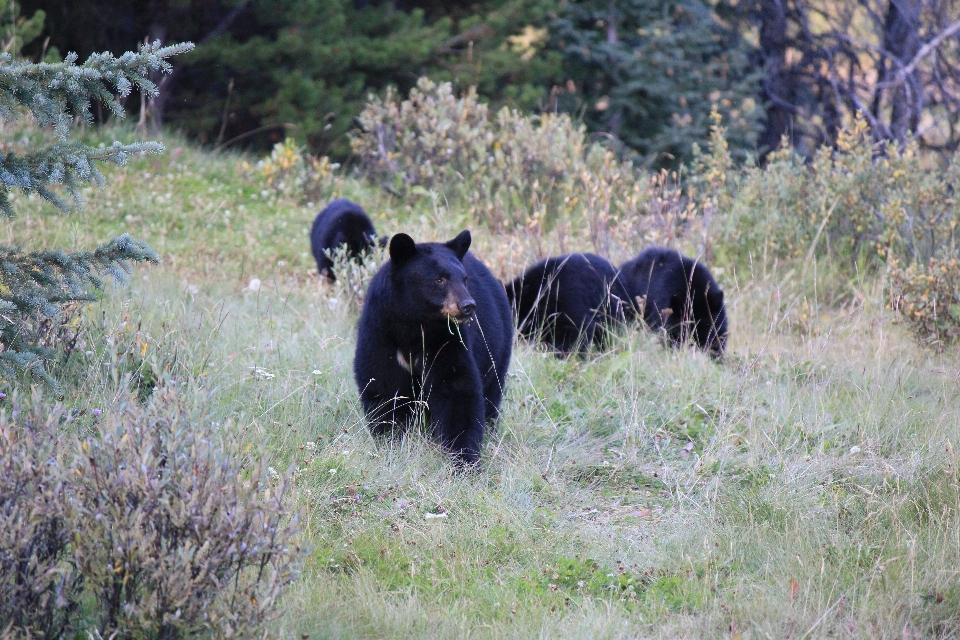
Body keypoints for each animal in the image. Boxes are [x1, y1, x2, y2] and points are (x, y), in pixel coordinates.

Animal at [352, 230, 512, 464]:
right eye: (439, 279)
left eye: (464, 279)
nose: (468, 306)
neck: (413, 326)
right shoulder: (380, 334)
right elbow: (384, 386)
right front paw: (392, 441)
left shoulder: (448, 340)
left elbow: (457, 391)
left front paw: (464, 458)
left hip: (498, 348)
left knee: (491, 394)